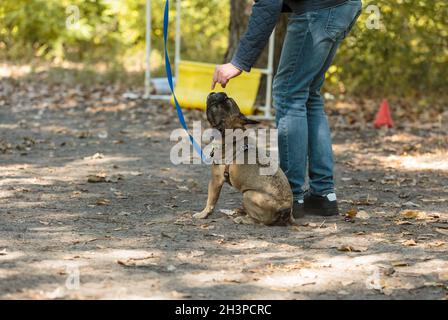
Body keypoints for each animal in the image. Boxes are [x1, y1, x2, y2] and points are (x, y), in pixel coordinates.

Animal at [193, 91, 294, 226]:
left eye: (219, 105)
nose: (219, 93)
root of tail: (286, 209)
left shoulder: (215, 181)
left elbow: (210, 200)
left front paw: (203, 214)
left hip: (248, 195)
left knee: (260, 221)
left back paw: (242, 218)